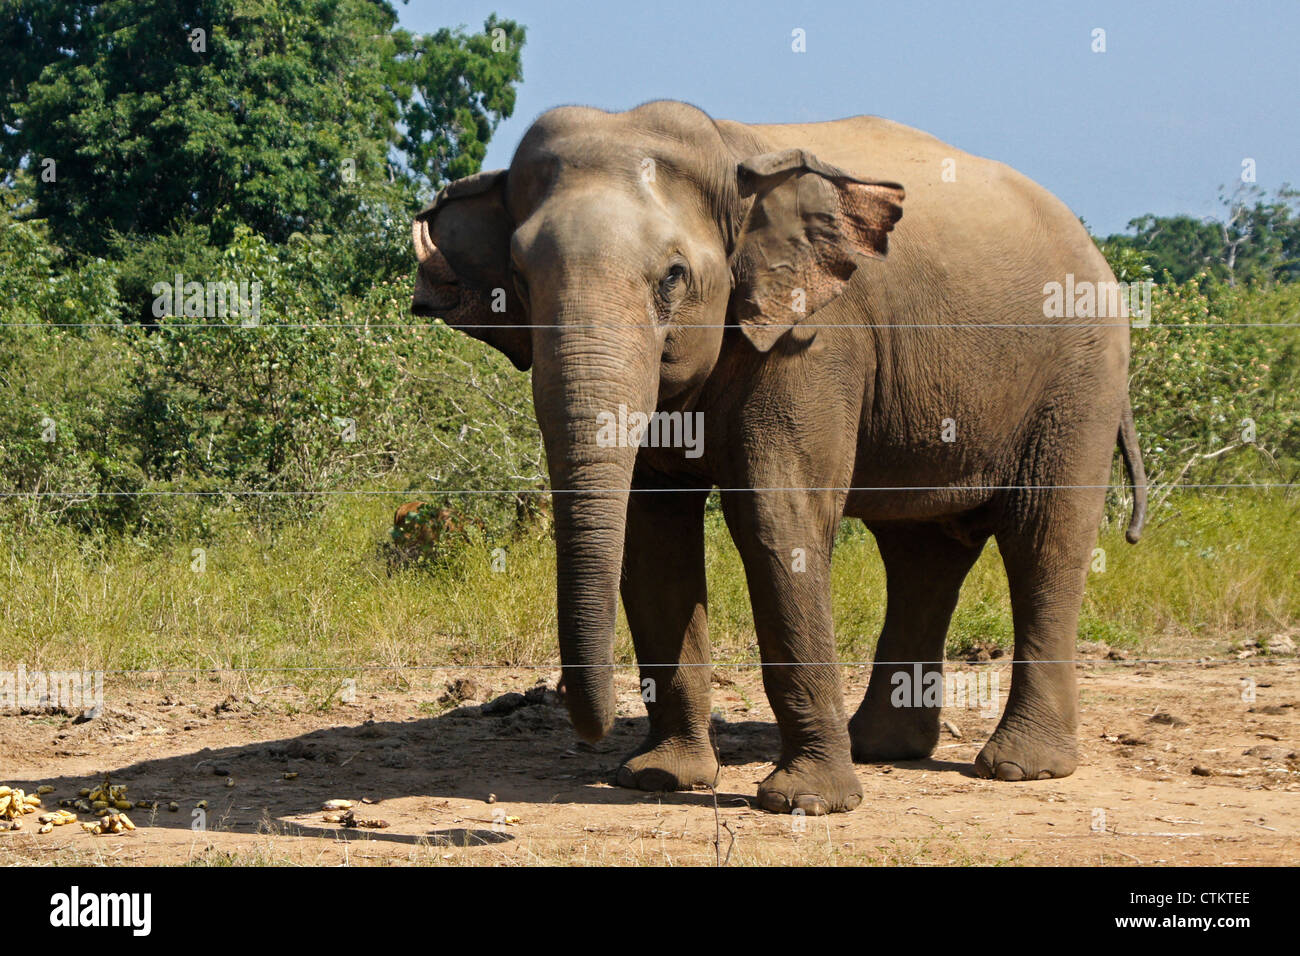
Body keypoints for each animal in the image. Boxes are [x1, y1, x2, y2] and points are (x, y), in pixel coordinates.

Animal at [410, 100, 1147, 815]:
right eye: (520, 280)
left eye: (673, 277)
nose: (583, 724)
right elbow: (654, 537)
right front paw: (658, 780)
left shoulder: (813, 341)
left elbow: (776, 519)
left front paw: (807, 803)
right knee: (922, 550)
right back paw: (882, 747)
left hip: (1081, 374)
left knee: (1044, 537)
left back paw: (1020, 767)